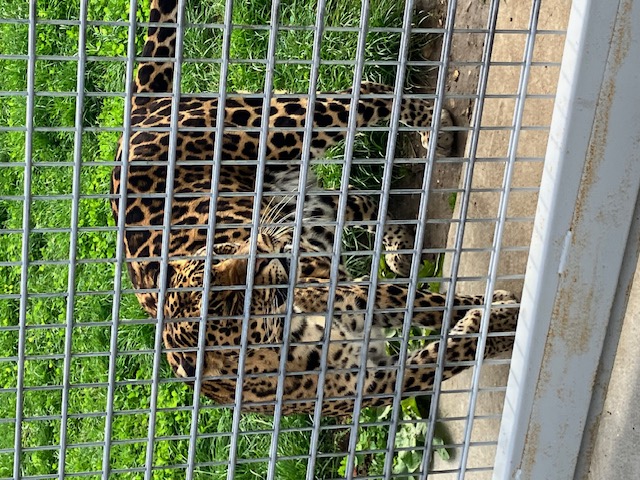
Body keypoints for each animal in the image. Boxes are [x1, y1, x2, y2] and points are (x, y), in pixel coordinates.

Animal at [110, 0, 519, 416]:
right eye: (230, 304)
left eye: (220, 251)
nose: (260, 248)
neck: (287, 335)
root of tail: (139, 113)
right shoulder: (375, 384)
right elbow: (445, 355)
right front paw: (499, 318)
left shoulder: (358, 295)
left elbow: (432, 304)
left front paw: (496, 309)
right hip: (302, 202)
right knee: (358, 197)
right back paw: (398, 248)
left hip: (280, 128)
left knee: (366, 92)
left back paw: (434, 131)